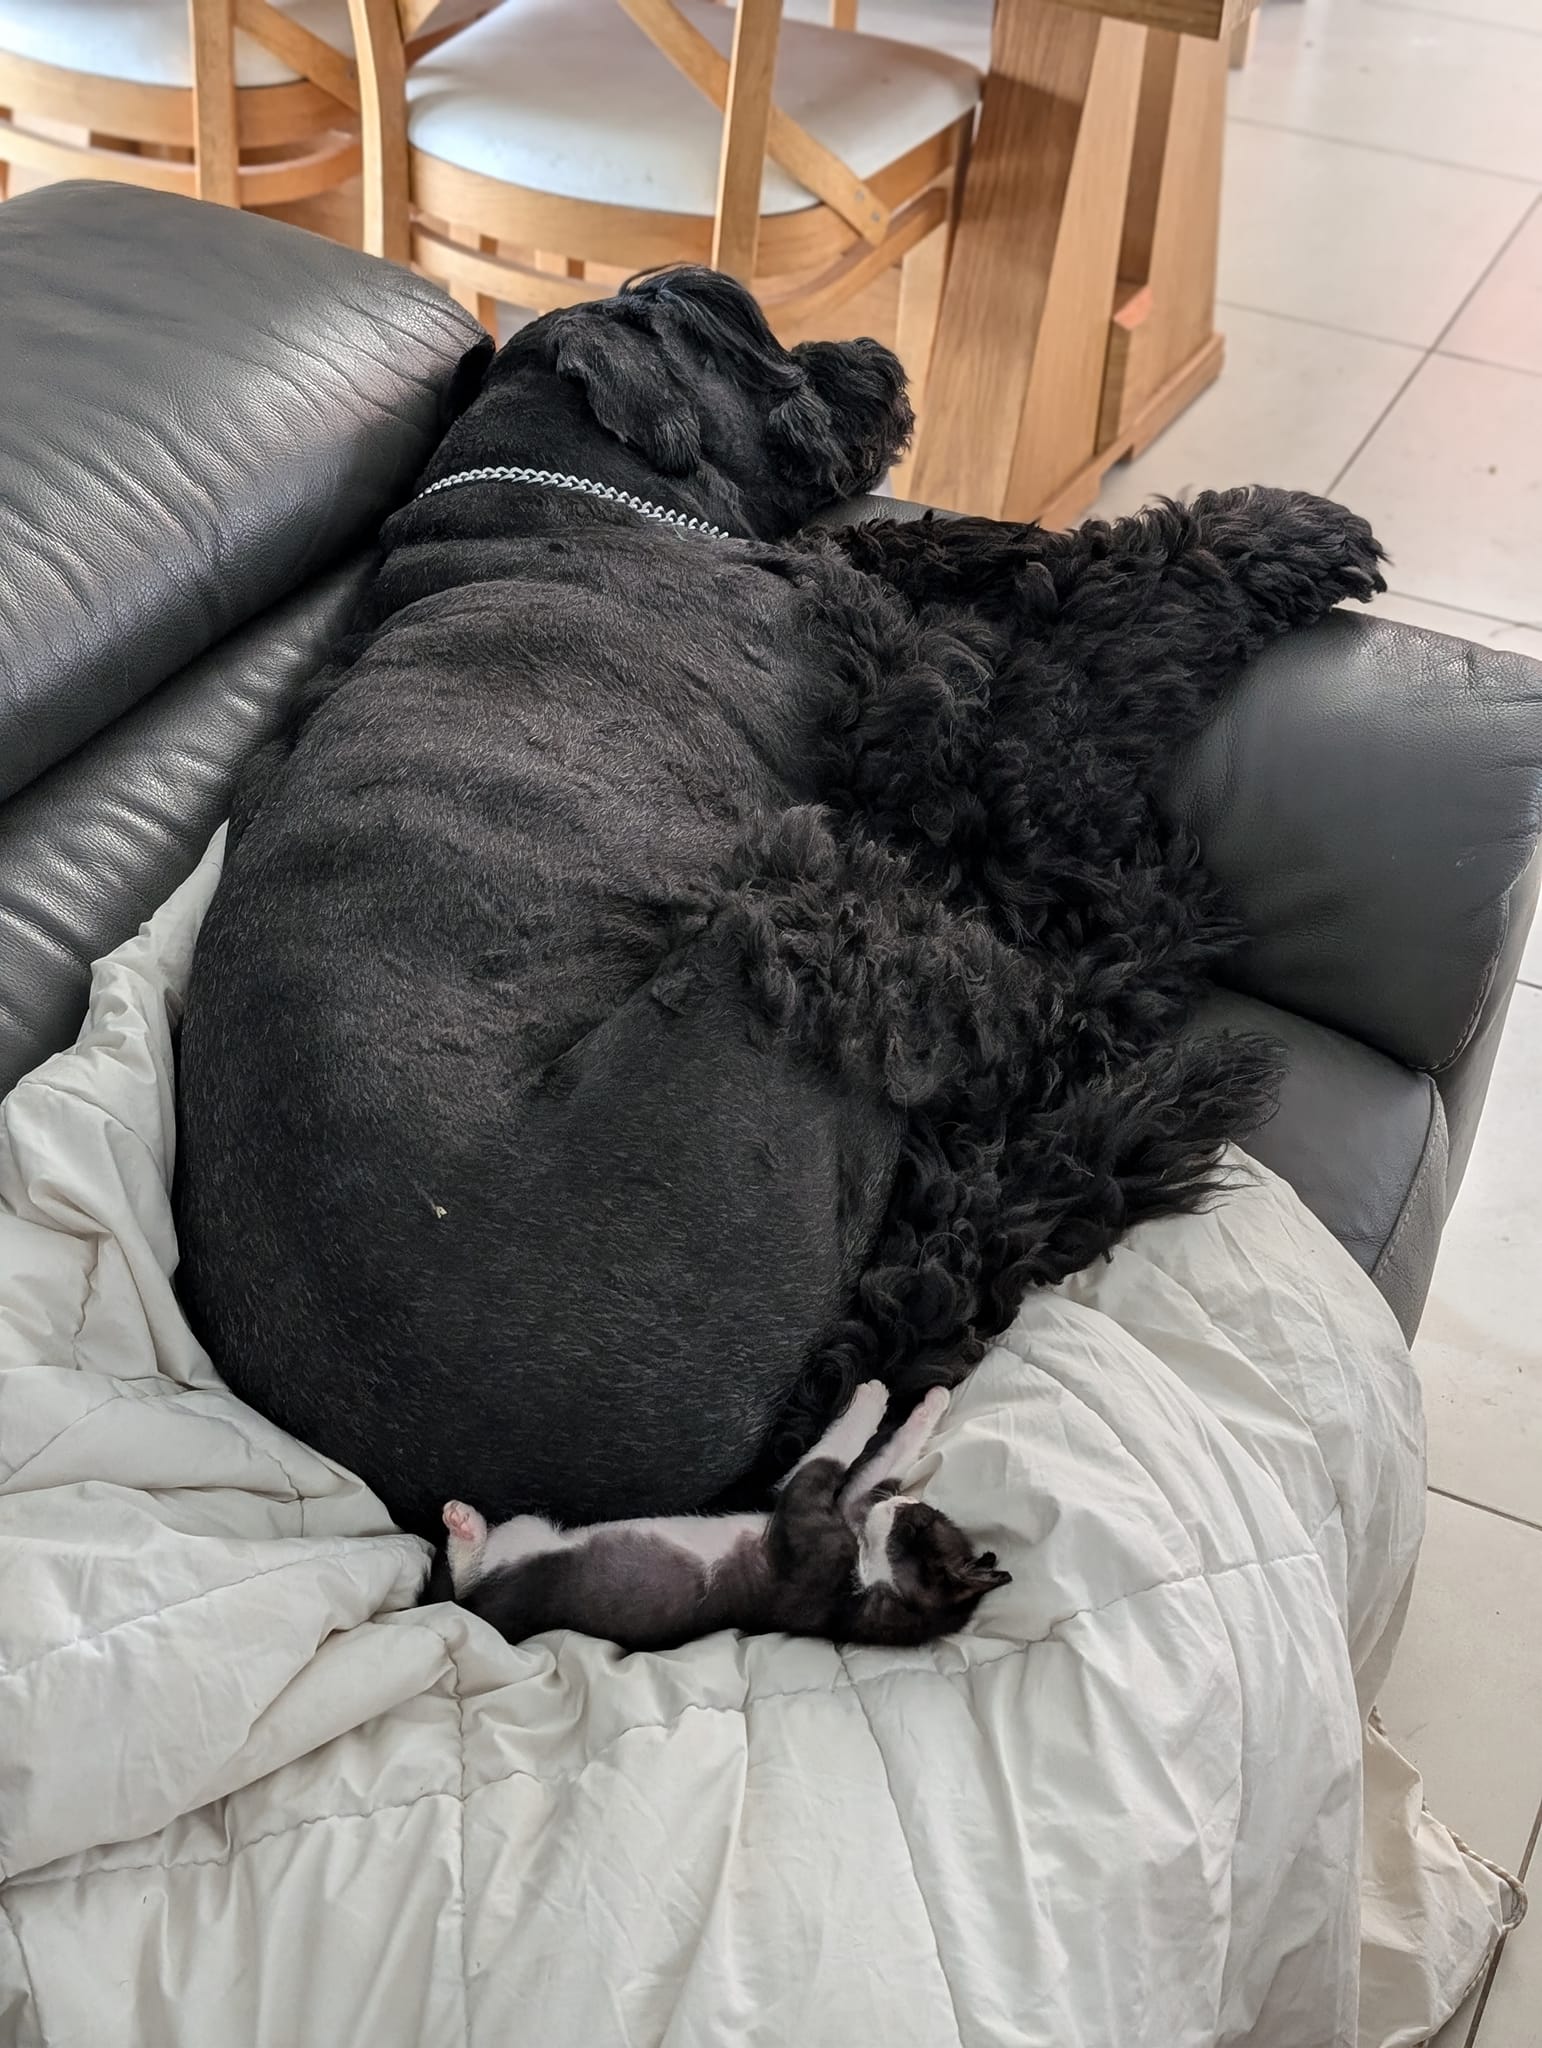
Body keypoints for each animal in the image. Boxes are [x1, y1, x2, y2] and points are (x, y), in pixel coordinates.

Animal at [174, 266, 1385, 1551]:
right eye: (734, 326)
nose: (870, 353)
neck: (561, 494)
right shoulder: (926, 738)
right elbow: (1084, 649)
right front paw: (1282, 535)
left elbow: (926, 543)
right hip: (802, 919)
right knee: (1035, 1019)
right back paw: (1151, 949)